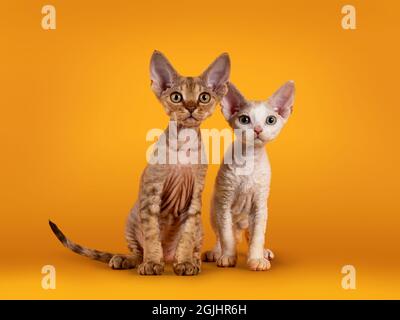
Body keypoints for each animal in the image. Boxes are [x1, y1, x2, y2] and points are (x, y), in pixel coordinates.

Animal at [49, 51, 230, 276]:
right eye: (176, 97)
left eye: (204, 97)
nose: (190, 107)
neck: (184, 144)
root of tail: (167, 257)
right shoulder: (151, 192)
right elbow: (151, 234)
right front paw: (152, 263)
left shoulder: (195, 197)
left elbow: (187, 235)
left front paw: (185, 262)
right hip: (132, 218)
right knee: (137, 252)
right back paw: (127, 259)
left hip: (199, 227)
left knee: (192, 244)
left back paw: (192, 261)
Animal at [203, 81, 294, 272]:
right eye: (244, 119)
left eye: (271, 120)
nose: (258, 129)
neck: (250, 161)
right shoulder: (224, 201)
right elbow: (226, 236)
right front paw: (228, 257)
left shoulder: (260, 203)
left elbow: (258, 236)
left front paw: (256, 259)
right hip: (214, 209)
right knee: (222, 234)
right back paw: (216, 252)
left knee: (251, 233)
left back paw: (263, 251)